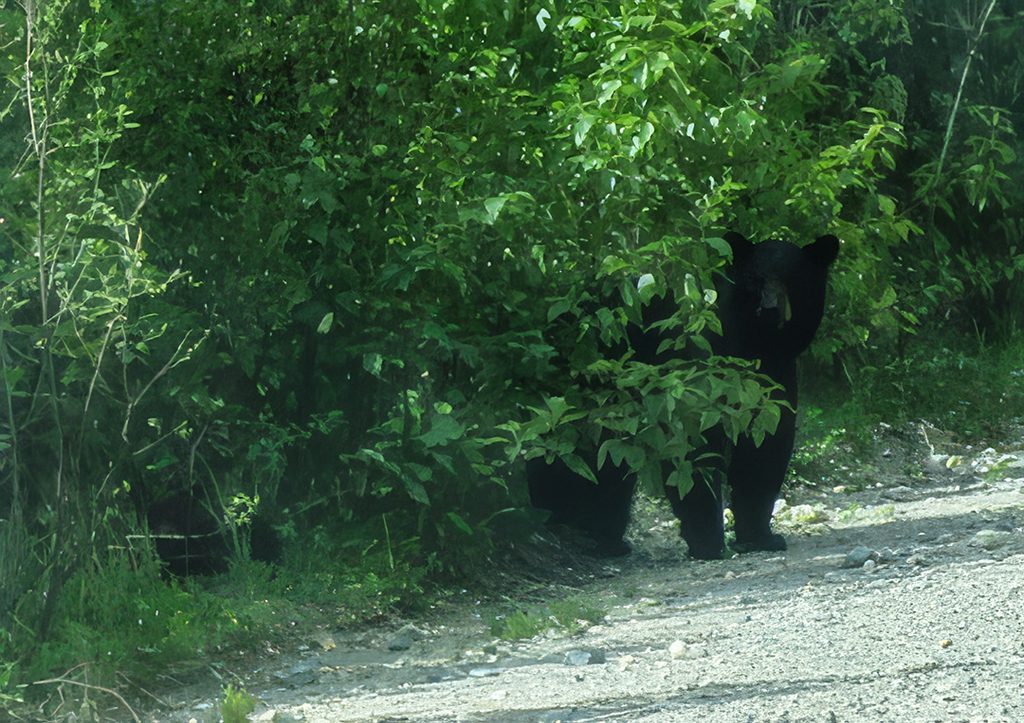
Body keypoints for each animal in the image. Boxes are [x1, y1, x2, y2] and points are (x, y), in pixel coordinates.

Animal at [527, 230, 839, 559]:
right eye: (755, 279)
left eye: (792, 277)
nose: (768, 308)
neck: (752, 345)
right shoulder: (698, 365)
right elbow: (691, 447)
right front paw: (708, 542)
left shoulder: (774, 378)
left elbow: (766, 446)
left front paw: (760, 536)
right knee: (565, 447)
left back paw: (603, 535)